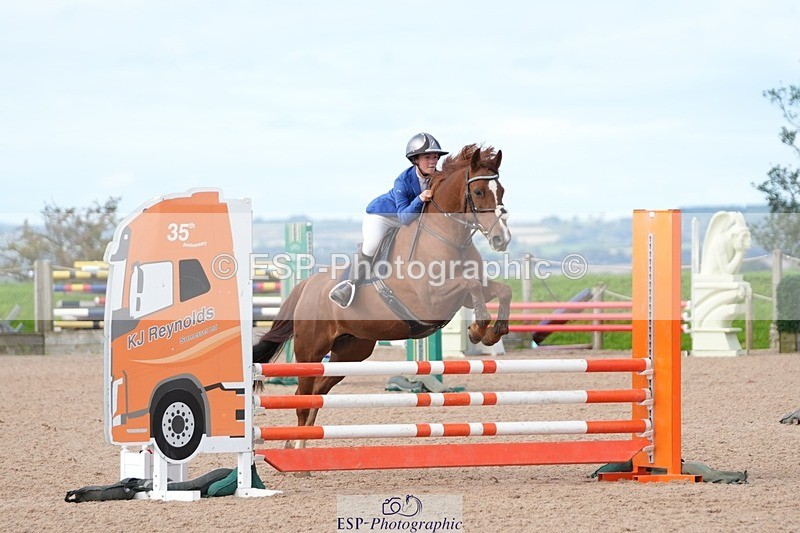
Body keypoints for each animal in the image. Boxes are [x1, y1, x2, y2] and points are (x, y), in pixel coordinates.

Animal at [253, 144, 512, 443]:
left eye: (501, 190)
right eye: (479, 192)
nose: (502, 239)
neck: (448, 236)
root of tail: (306, 285)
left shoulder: (462, 294)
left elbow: (500, 290)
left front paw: (493, 333)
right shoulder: (432, 297)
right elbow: (470, 285)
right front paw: (477, 330)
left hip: (351, 351)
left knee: (317, 392)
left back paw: (302, 445)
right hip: (311, 350)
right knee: (302, 396)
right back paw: (296, 450)